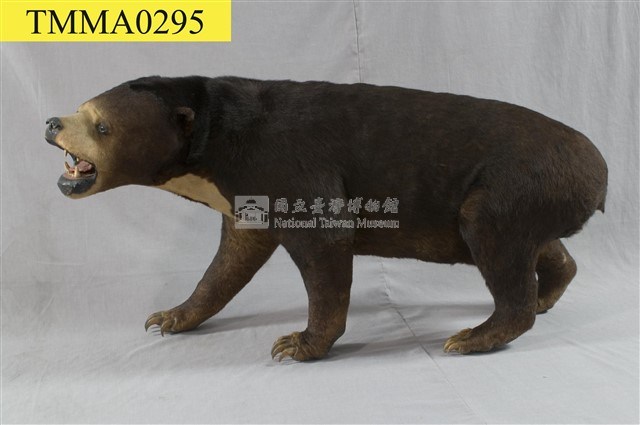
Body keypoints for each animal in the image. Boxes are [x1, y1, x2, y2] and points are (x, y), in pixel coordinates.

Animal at [45, 76, 608, 361]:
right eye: (79, 105)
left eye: (100, 124)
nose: (51, 122)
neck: (214, 140)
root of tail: (600, 171)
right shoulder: (245, 194)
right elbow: (229, 262)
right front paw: (168, 317)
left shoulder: (285, 164)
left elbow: (326, 243)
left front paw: (297, 343)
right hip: (532, 197)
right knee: (540, 248)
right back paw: (546, 294)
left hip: (510, 187)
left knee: (490, 235)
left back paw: (473, 336)